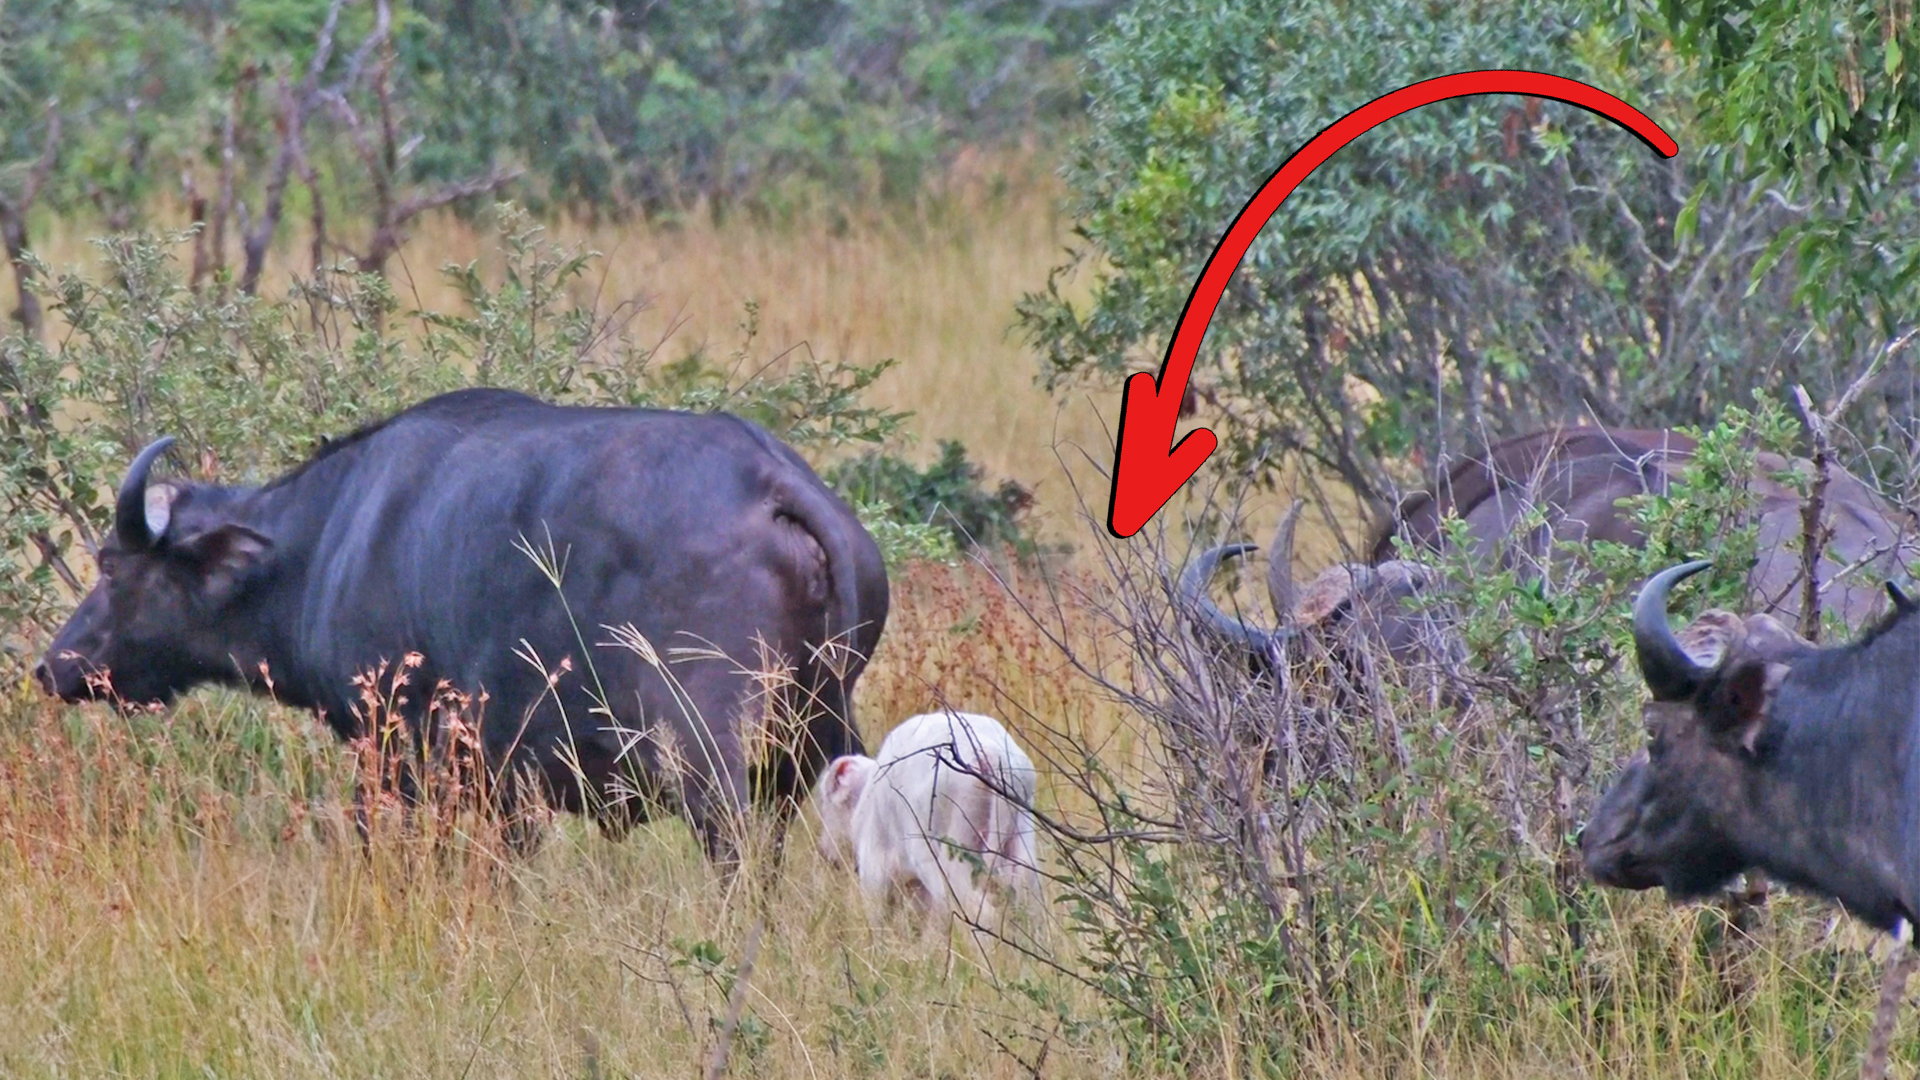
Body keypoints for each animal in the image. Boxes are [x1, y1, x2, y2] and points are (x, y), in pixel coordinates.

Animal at [34, 388, 891, 862]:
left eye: (112, 565)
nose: (53, 665)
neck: (333, 535)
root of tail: (773, 482)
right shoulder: (509, 792)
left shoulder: (400, 758)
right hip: (819, 740)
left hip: (705, 754)